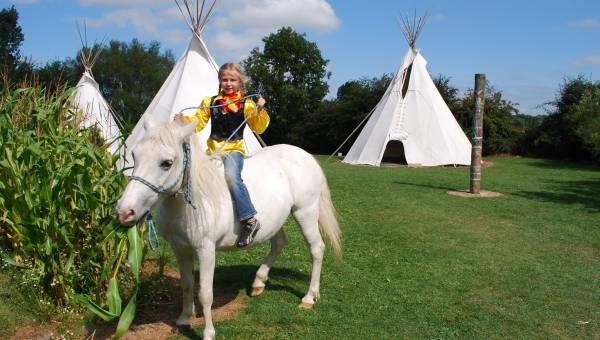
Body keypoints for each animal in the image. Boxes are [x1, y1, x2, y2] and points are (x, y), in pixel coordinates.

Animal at [116, 120, 342, 340]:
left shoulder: (206, 250)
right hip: (275, 221)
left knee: (316, 249)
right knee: (279, 243)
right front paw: (184, 320)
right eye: (134, 155)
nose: (124, 212)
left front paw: (208, 333)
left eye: (166, 163)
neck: (194, 201)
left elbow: (205, 293)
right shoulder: (180, 248)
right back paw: (259, 282)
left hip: (306, 212)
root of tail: (304, 155)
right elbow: (187, 284)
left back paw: (309, 297)